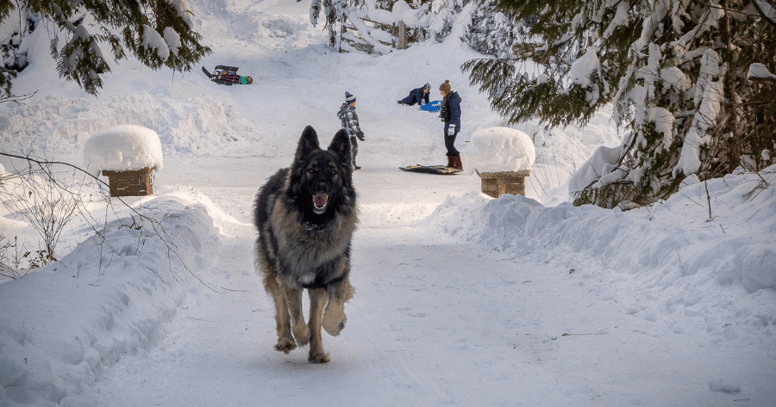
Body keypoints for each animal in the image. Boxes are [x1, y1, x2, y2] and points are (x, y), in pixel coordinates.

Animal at [255, 126, 358, 364]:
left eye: (333, 172)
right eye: (311, 171)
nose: (322, 187)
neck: (315, 226)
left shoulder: (329, 277)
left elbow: (325, 315)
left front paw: (335, 325)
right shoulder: (290, 278)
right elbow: (297, 318)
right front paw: (301, 337)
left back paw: (317, 351)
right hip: (274, 270)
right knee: (282, 307)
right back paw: (286, 340)